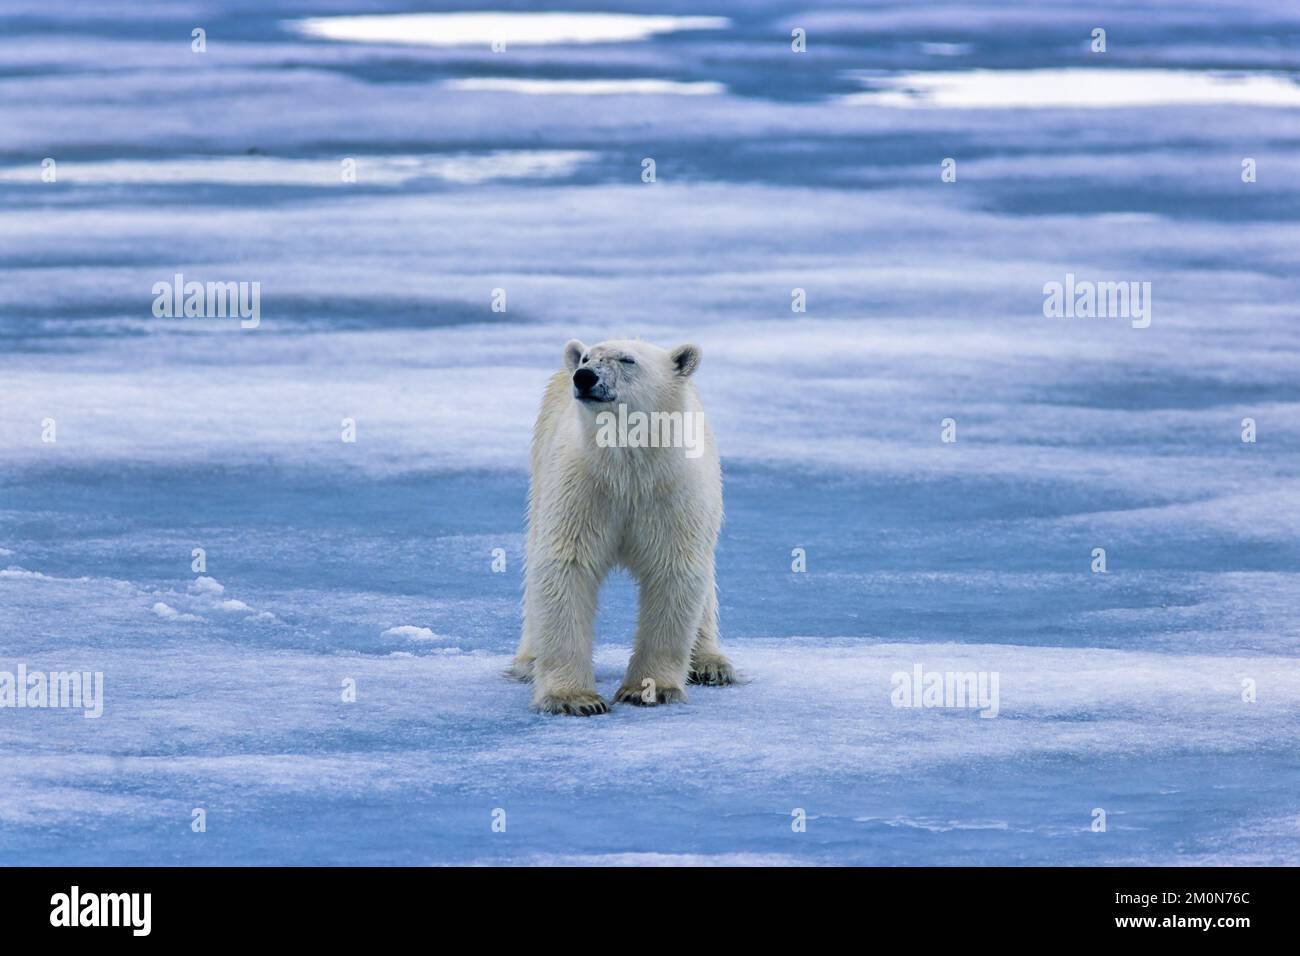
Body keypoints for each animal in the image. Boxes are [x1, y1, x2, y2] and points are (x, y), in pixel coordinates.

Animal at [508, 337, 735, 715]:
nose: (584, 376)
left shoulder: (673, 492)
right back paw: (528, 661)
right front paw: (574, 698)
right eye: (587, 358)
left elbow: (674, 570)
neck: (628, 469)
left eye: (628, 360)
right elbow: (566, 567)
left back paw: (710, 663)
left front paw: (649, 689)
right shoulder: (582, 487)